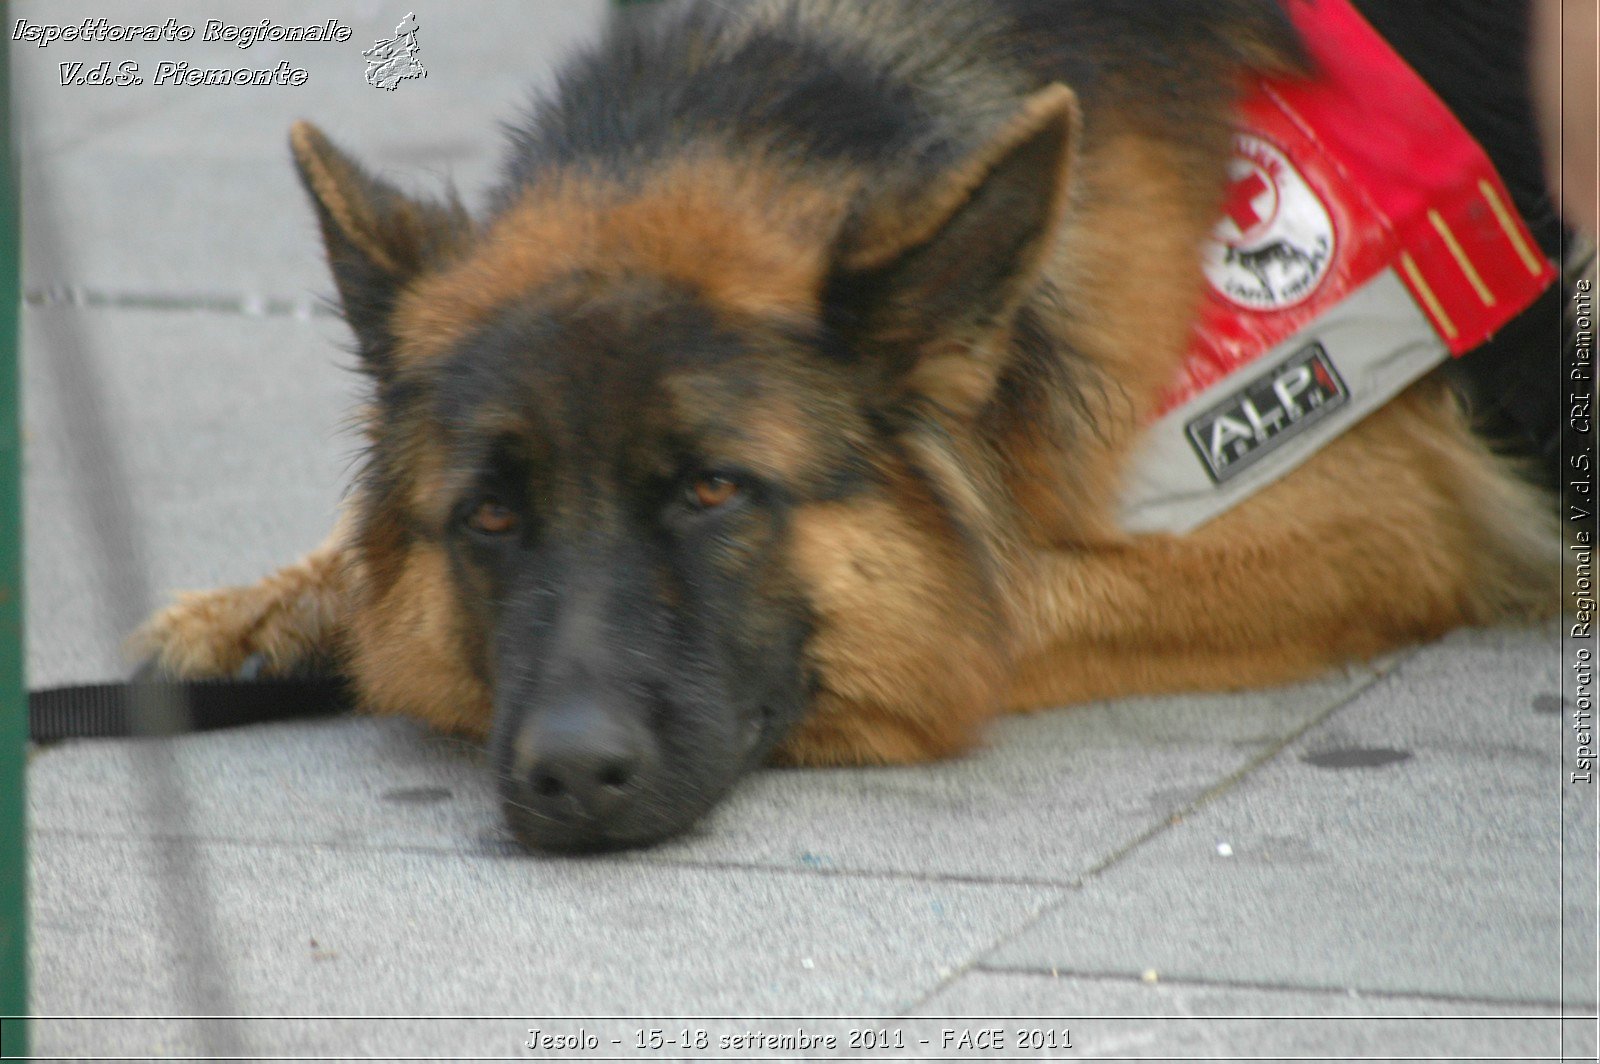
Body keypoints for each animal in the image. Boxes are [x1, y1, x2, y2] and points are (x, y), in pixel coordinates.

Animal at [131, 0, 1555, 844]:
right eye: (487, 514)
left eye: (713, 490)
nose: (568, 779)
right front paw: (279, 606)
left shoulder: (1384, 510)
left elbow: (987, 596)